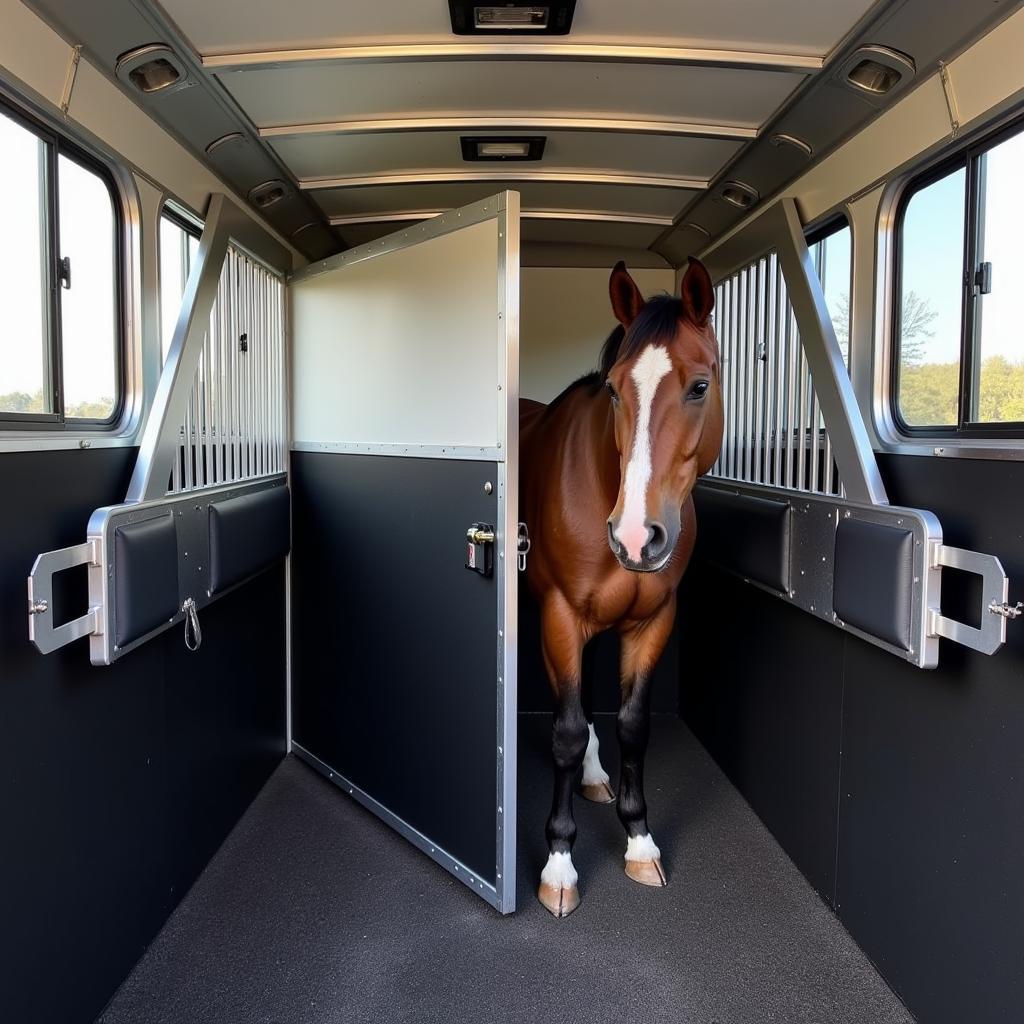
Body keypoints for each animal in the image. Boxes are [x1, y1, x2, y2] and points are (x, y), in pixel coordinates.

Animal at [520, 260, 720, 917]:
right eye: (611, 389)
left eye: (700, 385)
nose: (636, 537)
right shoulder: (559, 615)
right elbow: (564, 729)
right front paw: (559, 863)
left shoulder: (654, 621)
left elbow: (633, 726)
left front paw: (639, 841)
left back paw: (593, 775)